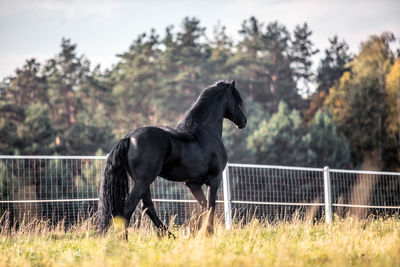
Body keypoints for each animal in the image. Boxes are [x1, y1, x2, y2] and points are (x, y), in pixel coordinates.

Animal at [97, 80, 247, 238]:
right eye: (237, 100)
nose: (244, 121)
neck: (205, 133)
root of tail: (129, 137)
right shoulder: (214, 179)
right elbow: (211, 206)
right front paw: (208, 233)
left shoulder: (193, 184)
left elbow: (204, 206)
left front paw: (197, 232)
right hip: (143, 181)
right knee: (129, 208)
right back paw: (125, 239)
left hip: (142, 182)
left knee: (147, 206)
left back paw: (170, 235)